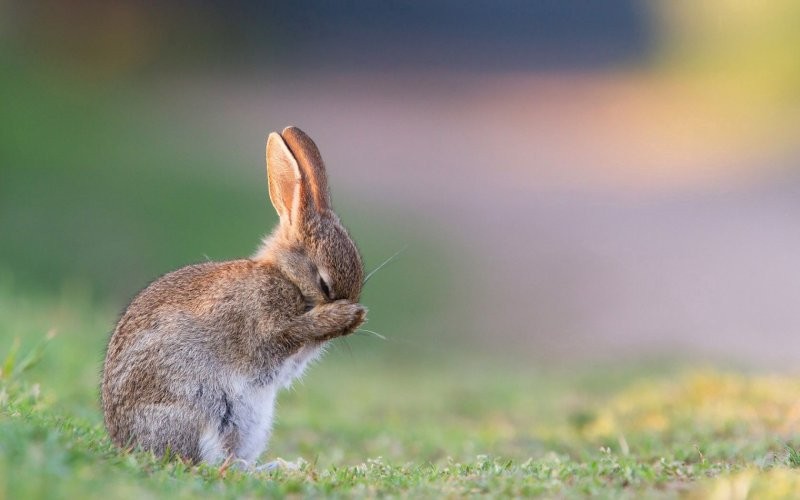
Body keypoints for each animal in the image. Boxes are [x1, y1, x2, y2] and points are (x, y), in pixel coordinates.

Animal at [100, 127, 366, 466]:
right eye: (324, 284)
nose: (352, 315)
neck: (286, 276)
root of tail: (125, 443)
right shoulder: (265, 326)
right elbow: (289, 334)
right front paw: (343, 316)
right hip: (200, 410)